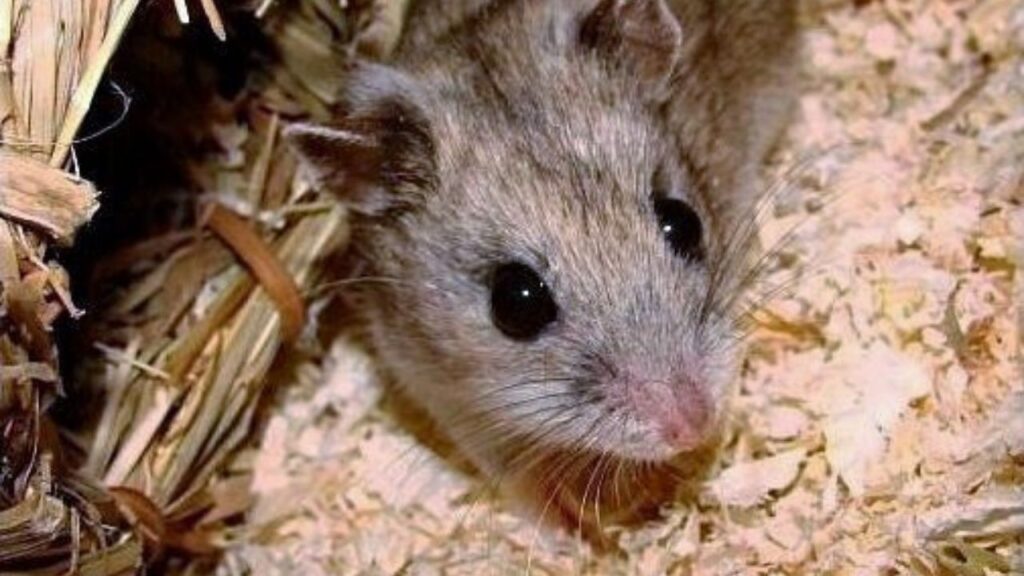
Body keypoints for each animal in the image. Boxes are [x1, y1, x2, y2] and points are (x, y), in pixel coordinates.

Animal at [287, 0, 798, 534]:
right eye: (516, 303)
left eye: (684, 223)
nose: (691, 426)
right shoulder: (436, 386)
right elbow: (512, 472)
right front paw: (570, 532)